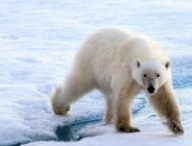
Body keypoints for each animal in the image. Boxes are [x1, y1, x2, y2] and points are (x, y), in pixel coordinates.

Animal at [51, 26, 184, 135]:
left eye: (158, 75)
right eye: (144, 75)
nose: (151, 88)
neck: (144, 49)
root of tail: (92, 35)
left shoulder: (162, 81)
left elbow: (164, 98)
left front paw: (177, 126)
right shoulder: (125, 71)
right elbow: (123, 97)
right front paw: (127, 128)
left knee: (109, 97)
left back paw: (108, 120)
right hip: (89, 62)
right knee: (77, 84)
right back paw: (59, 107)